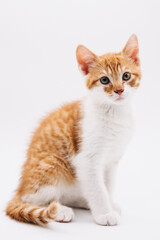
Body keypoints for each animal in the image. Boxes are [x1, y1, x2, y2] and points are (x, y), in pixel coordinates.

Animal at [5, 34, 141, 226]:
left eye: (126, 76)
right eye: (104, 80)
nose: (119, 90)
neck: (115, 113)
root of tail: (20, 189)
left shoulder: (112, 159)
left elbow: (107, 185)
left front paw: (109, 205)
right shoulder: (86, 159)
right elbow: (97, 188)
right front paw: (104, 213)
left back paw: (83, 202)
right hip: (53, 162)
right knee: (34, 200)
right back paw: (60, 211)